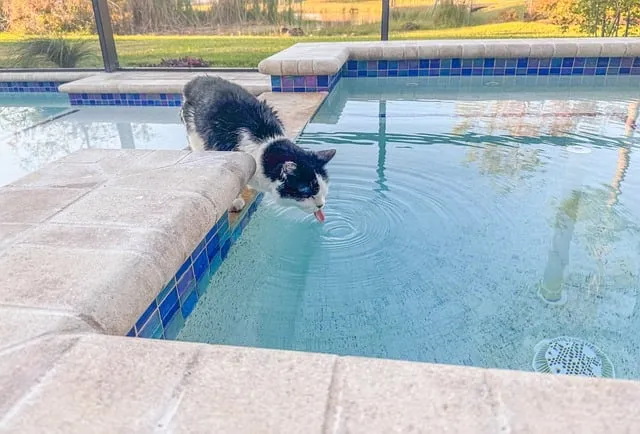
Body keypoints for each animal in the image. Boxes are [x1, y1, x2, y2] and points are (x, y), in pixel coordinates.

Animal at [180, 76, 336, 222]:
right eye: (307, 194)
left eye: (324, 188)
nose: (321, 205)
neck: (264, 143)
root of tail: (197, 80)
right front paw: (235, 201)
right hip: (196, 135)